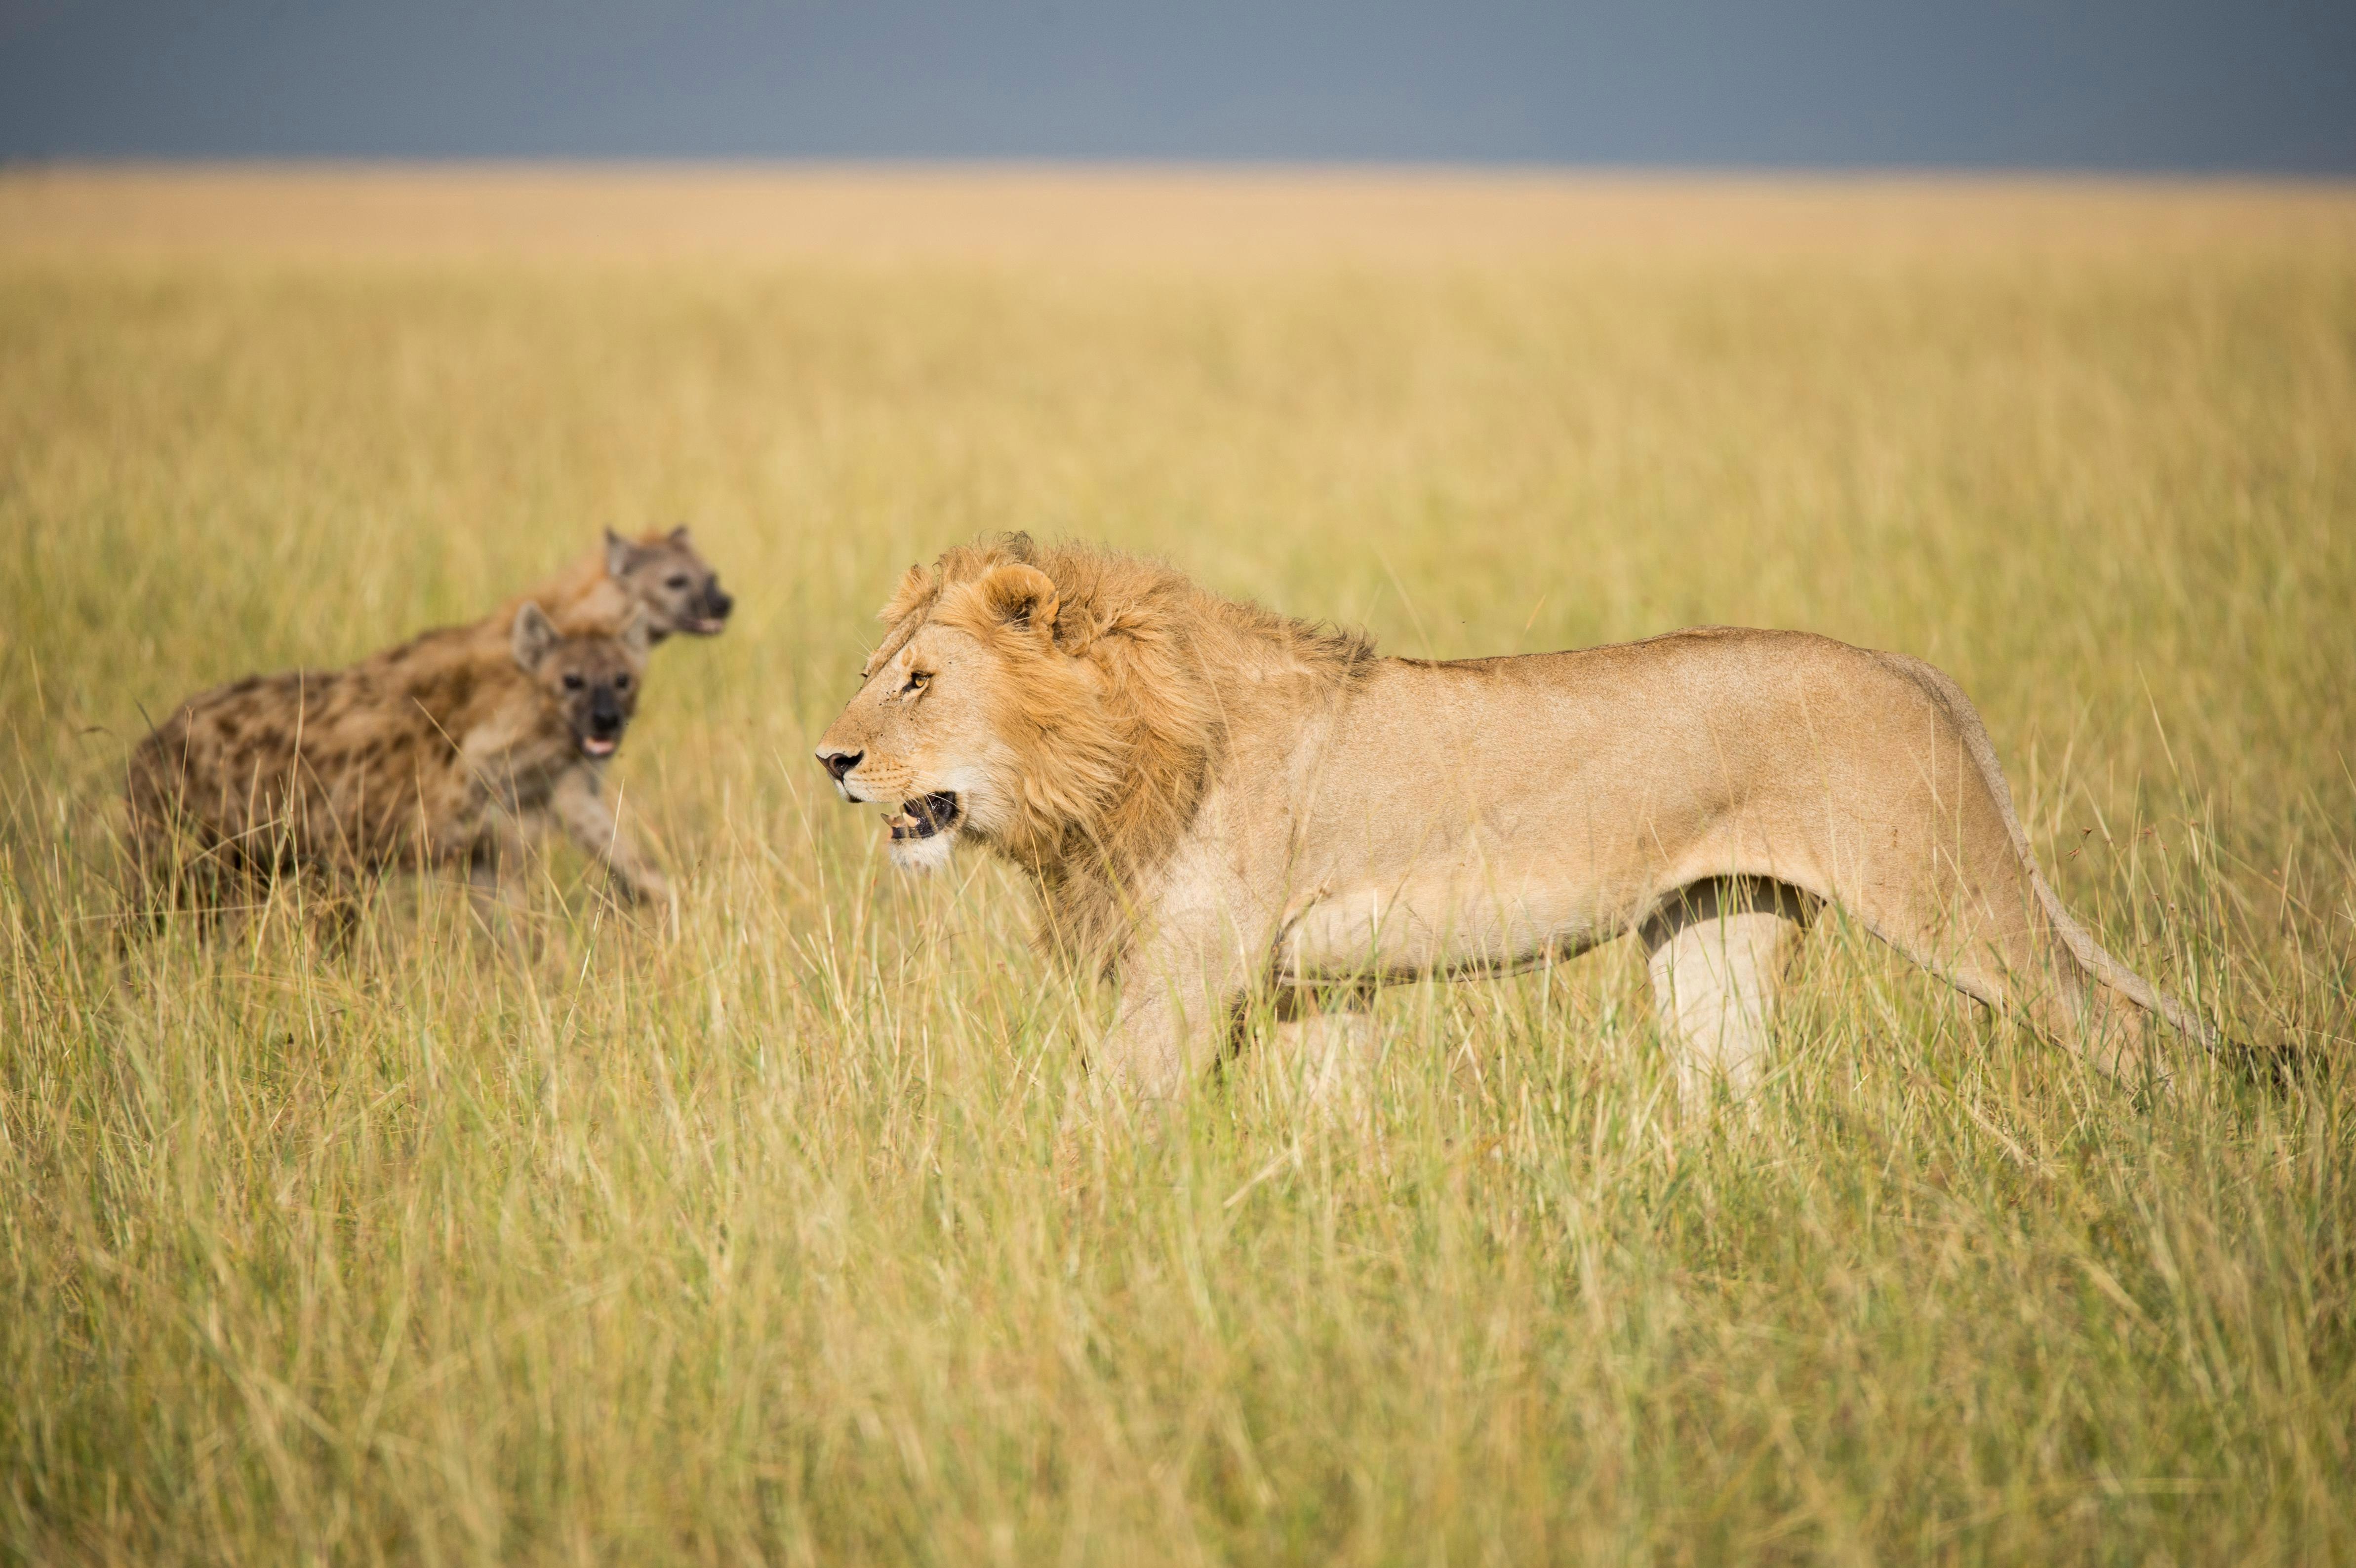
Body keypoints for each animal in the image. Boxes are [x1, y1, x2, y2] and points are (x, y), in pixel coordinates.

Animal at [820, 534, 2214, 1097]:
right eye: (878, 669)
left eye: (919, 681)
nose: (830, 757)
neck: (1119, 759)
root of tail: (1913, 668)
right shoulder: (1313, 989)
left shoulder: (1190, 970)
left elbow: (1103, 1113)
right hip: (1716, 929)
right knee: (1731, 1091)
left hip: (1947, 892)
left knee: (2117, 1029)